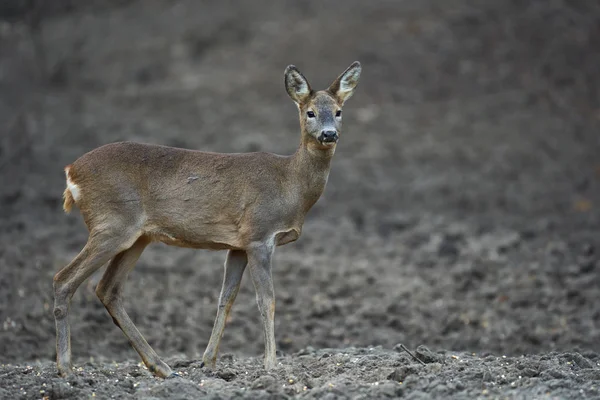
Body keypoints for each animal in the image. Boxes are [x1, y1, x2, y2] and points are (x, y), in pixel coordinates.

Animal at [56, 61, 364, 378]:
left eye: (339, 111)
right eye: (310, 112)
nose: (329, 134)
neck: (290, 184)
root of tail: (71, 172)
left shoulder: (238, 244)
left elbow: (225, 299)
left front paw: (208, 362)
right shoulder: (259, 234)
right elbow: (267, 300)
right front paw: (271, 364)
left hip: (136, 236)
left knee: (108, 290)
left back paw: (162, 367)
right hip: (111, 224)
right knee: (64, 279)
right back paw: (66, 368)